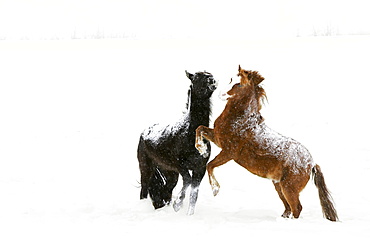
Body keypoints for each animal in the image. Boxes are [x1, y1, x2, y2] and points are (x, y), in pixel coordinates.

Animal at [138, 70, 217, 214]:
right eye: (196, 78)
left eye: (209, 74)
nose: (212, 81)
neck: (190, 133)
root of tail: (144, 132)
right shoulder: (180, 165)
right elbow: (188, 181)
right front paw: (178, 204)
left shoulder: (200, 168)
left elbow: (194, 194)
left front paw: (188, 213)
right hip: (146, 168)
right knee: (144, 189)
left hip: (169, 172)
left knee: (166, 190)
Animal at [197, 66, 338, 222]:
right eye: (231, 79)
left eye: (239, 84)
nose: (220, 94)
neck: (241, 121)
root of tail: (312, 163)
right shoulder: (217, 138)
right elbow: (200, 129)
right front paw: (201, 149)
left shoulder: (228, 152)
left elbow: (210, 165)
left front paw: (215, 189)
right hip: (278, 185)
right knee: (288, 208)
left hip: (289, 187)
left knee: (296, 208)